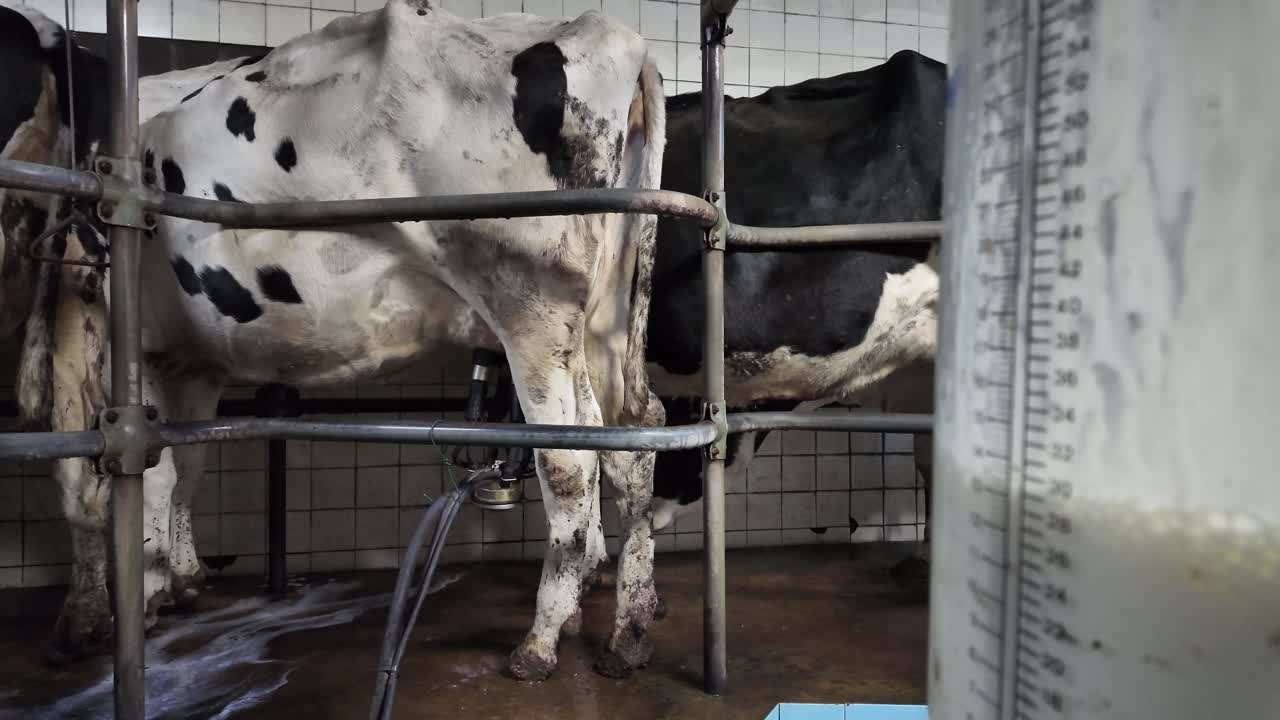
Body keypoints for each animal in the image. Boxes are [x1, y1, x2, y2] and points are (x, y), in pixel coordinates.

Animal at [8, 2, 669, 682]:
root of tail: (610, 35)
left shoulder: (96, 325)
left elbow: (98, 478)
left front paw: (100, 615)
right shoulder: (185, 354)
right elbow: (181, 466)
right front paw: (174, 581)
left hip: (529, 305)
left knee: (570, 462)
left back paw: (540, 640)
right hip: (599, 320)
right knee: (631, 438)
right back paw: (626, 631)